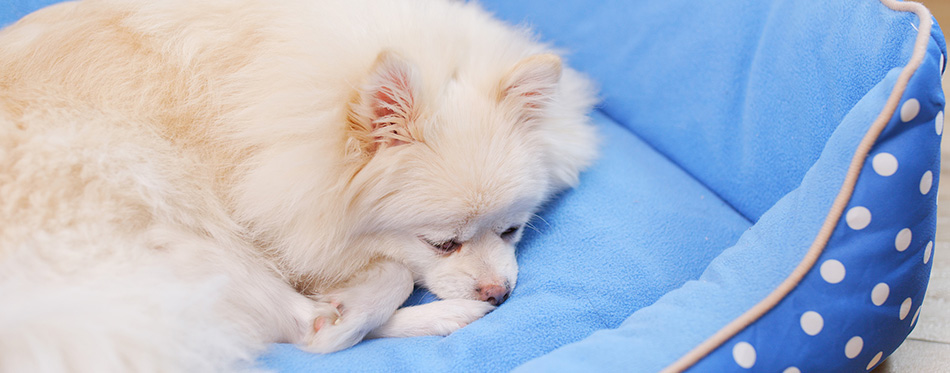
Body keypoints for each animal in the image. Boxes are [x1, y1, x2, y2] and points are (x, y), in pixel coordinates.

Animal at [0, 0, 596, 370]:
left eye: (513, 231)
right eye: (441, 243)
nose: (499, 293)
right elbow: (389, 279)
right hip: (169, 213)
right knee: (311, 330)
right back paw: (441, 315)